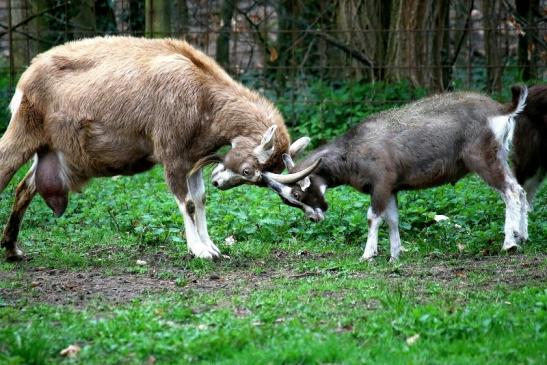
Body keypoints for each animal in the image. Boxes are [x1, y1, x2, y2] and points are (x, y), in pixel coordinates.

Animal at [0, 36, 312, 258]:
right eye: (248, 171)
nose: (220, 181)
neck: (204, 95)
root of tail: (27, 76)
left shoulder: (193, 159)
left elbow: (200, 200)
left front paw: (212, 247)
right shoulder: (172, 154)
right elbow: (187, 203)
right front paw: (199, 251)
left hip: (51, 150)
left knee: (25, 187)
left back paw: (13, 249)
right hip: (24, 129)